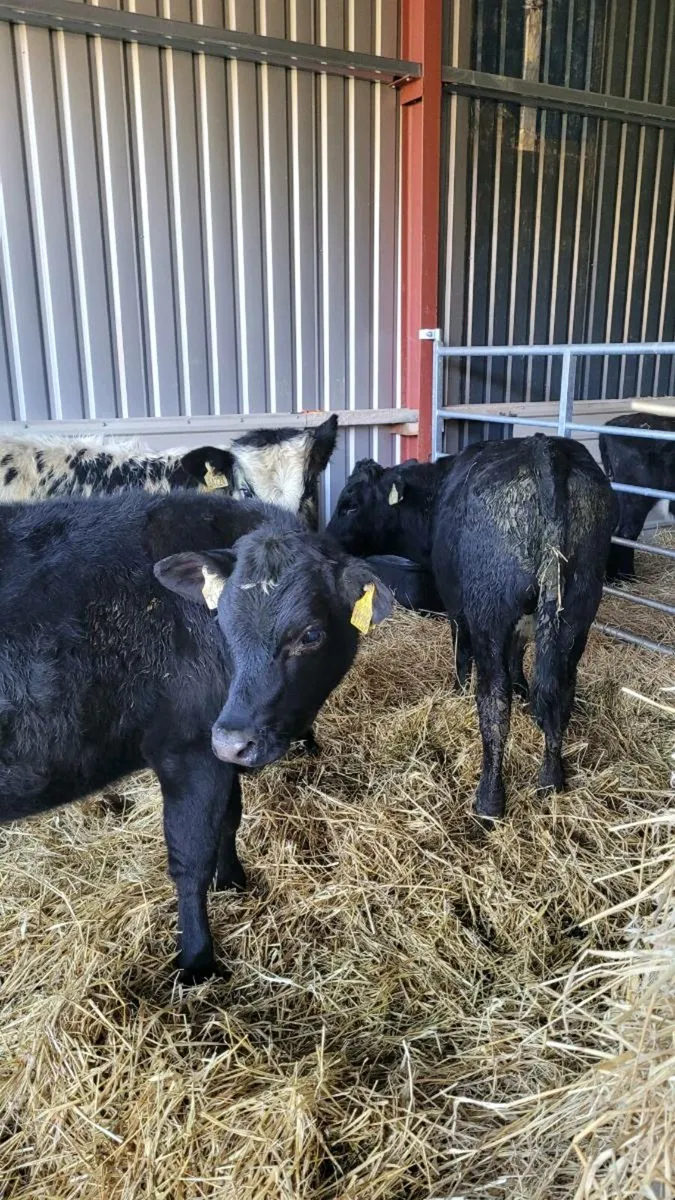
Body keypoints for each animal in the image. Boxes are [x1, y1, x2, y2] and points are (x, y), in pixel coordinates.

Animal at [0, 489, 392, 983]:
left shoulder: (220, 750)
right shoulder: (189, 750)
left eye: (310, 635)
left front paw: (233, 880)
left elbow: (229, 819)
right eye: (222, 621)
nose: (232, 741)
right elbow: (191, 859)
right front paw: (197, 960)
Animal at [327, 434, 616, 821]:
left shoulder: (457, 607)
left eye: (350, 504)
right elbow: (518, 656)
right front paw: (523, 690)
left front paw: (457, 693)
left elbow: (462, 656)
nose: (325, 543)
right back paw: (552, 781)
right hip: (578, 609)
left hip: (488, 611)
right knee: (560, 691)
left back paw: (489, 801)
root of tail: (546, 449)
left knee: (493, 700)